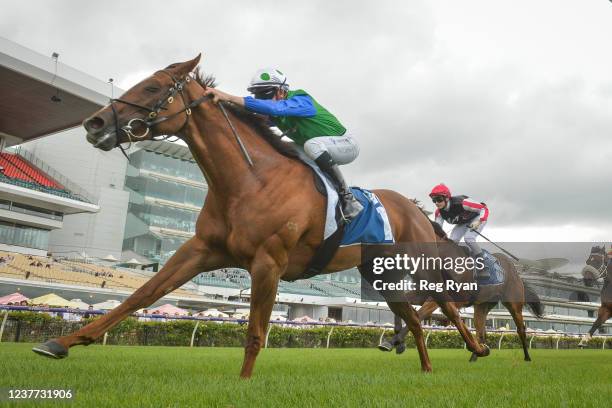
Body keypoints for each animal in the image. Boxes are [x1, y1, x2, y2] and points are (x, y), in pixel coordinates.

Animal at [33, 55, 490, 376]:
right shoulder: (201, 250)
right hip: (379, 272)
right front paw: (62, 343)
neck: (249, 181)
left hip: (416, 265)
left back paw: (475, 348)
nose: (93, 123)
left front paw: (243, 382)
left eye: (155, 86)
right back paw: (429, 365)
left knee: (445, 308)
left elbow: (255, 330)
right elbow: (142, 294)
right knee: (413, 317)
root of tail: (415, 208)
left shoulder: (268, 262)